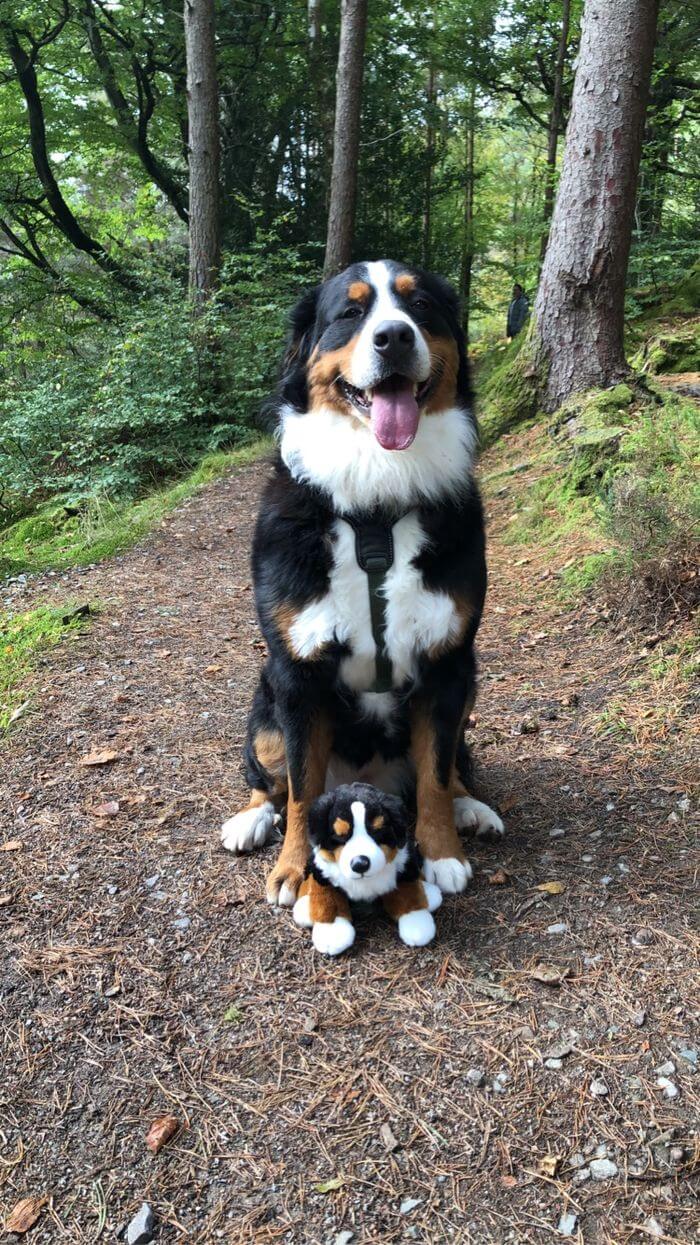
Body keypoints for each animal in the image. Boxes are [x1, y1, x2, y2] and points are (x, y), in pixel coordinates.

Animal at [220, 260, 498, 906]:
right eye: (349, 312)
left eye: (420, 306)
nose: (393, 337)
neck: (377, 501)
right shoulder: (297, 674)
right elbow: (302, 790)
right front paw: (294, 869)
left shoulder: (448, 663)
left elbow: (437, 771)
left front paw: (443, 852)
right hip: (265, 702)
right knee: (268, 777)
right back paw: (250, 818)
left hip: (470, 686)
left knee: (452, 766)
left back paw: (472, 806)